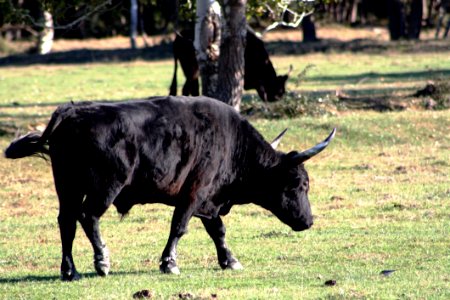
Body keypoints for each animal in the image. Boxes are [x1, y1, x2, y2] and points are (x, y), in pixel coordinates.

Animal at [3, 96, 334, 282]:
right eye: (299, 184)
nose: (308, 221)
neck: (232, 143)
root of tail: (72, 112)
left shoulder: (209, 201)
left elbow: (218, 231)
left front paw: (229, 260)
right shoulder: (195, 193)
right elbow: (179, 227)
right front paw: (169, 263)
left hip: (67, 186)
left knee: (67, 222)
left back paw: (69, 270)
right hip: (105, 186)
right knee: (88, 216)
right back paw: (102, 261)